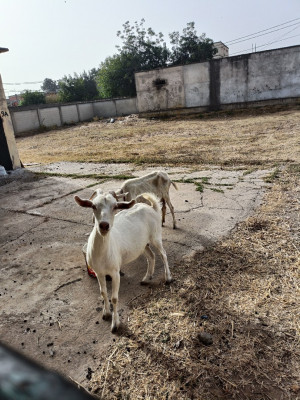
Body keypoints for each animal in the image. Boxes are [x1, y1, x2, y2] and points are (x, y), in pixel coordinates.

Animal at [74, 189, 172, 332]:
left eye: (115, 206)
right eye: (93, 206)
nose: (104, 225)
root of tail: (151, 207)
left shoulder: (115, 272)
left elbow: (114, 298)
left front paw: (115, 324)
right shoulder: (99, 272)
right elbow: (103, 292)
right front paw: (106, 313)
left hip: (155, 235)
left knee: (163, 254)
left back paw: (168, 278)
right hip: (141, 244)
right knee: (151, 256)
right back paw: (146, 278)